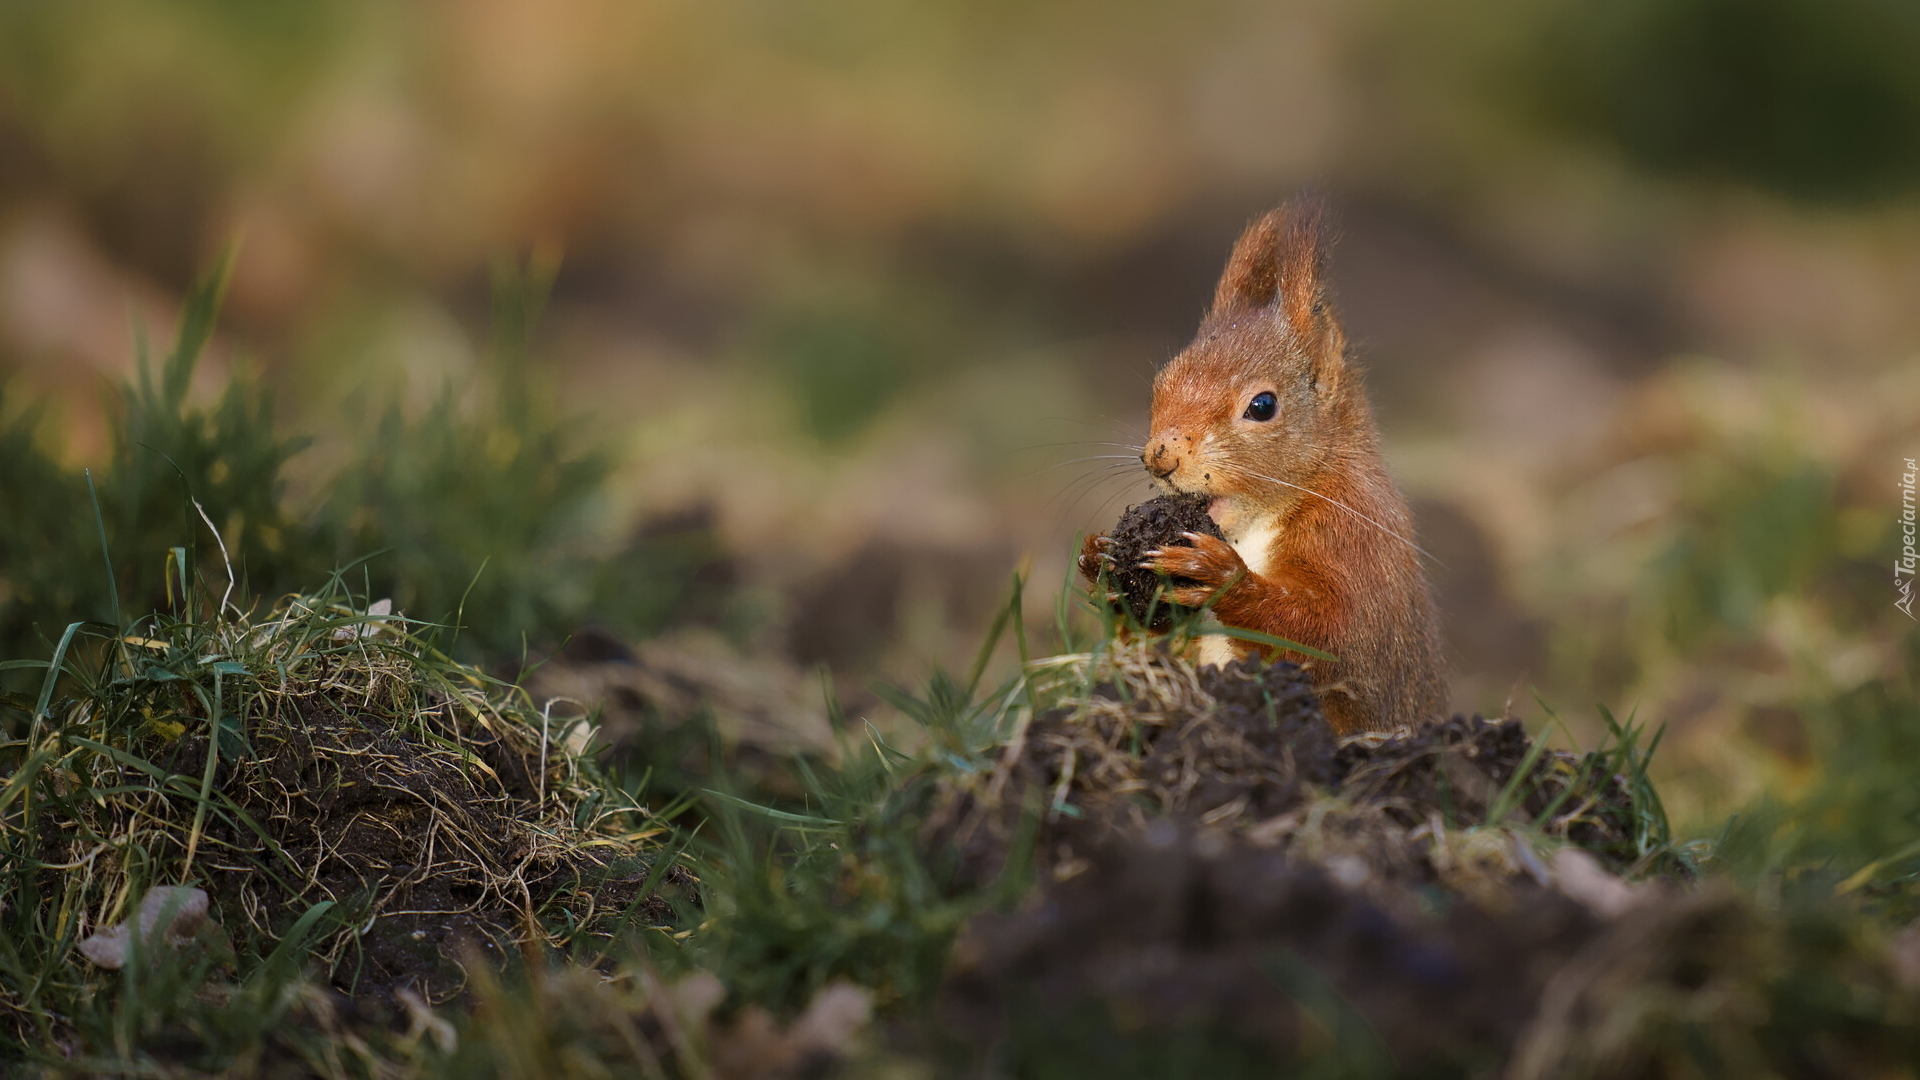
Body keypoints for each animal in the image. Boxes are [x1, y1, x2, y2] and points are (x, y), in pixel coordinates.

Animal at [1082, 196, 1443, 726]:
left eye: (1263, 405)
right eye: (1161, 382)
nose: (1159, 458)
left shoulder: (1357, 543)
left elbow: (1333, 636)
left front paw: (1218, 577)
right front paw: (1098, 564)